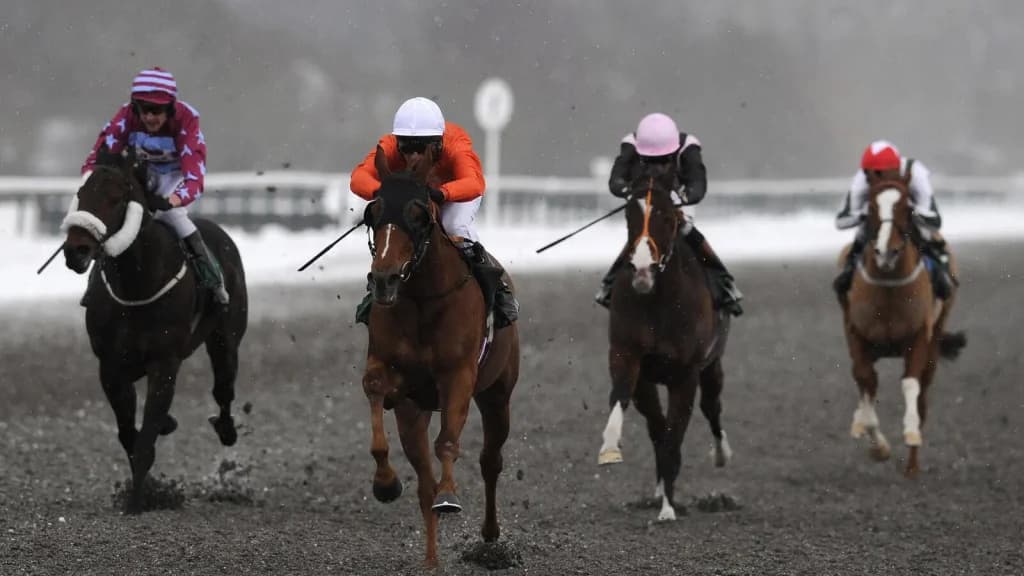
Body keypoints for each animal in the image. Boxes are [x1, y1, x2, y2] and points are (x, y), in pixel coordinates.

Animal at [61, 146, 248, 513]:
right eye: (81, 193)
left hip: (225, 339)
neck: (137, 283)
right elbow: (128, 435)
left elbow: (145, 438)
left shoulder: (164, 362)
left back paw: (226, 428)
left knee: (223, 388)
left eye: (116, 198)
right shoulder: (111, 366)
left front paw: (138, 501)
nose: (76, 250)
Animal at [359, 147, 520, 567]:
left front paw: (451, 495)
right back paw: (432, 560)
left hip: (498, 394)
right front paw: (385, 482)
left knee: (490, 460)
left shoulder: (459, 375)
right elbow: (374, 386)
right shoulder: (393, 373)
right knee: (423, 485)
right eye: (372, 211)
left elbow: (448, 441)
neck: (421, 299)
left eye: (420, 214)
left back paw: (489, 535)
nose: (383, 279)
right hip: (414, 414)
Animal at [596, 160, 733, 522]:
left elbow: (674, 435)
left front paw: (669, 509)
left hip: (713, 365)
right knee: (657, 425)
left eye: (668, 217)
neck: (656, 301)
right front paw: (610, 447)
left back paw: (721, 453)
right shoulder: (629, 357)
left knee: (712, 407)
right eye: (629, 215)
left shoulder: (686, 374)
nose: (642, 269)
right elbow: (624, 401)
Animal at [837, 174, 965, 477]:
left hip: (935, 339)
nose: (886, 252)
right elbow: (866, 381)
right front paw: (876, 445)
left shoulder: (918, 337)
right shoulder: (857, 335)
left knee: (923, 397)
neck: (888, 288)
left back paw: (912, 465)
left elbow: (910, 385)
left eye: (907, 208)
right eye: (871, 207)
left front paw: (910, 432)